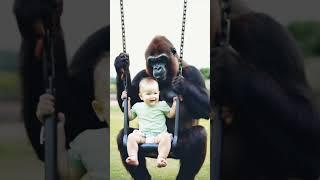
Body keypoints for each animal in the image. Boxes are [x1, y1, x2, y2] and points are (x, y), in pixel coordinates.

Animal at [114, 35, 210, 180]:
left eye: (162, 59)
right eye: (152, 61)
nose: (157, 68)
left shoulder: (193, 72)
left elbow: (206, 110)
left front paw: (182, 84)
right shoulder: (142, 74)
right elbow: (126, 107)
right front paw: (121, 66)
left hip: (173, 147)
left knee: (199, 135)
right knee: (123, 137)